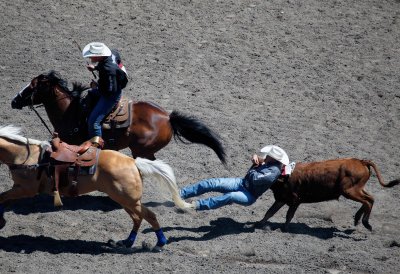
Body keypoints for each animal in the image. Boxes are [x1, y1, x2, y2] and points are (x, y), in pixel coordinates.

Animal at [0, 125, 192, 249]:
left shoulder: (25, 190)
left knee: (149, 216)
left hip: (129, 200)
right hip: (124, 200)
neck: (26, 156)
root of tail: (133, 162)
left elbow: (2, 197)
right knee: (138, 218)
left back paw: (159, 243)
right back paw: (127, 242)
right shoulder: (18, 188)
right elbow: (4, 200)